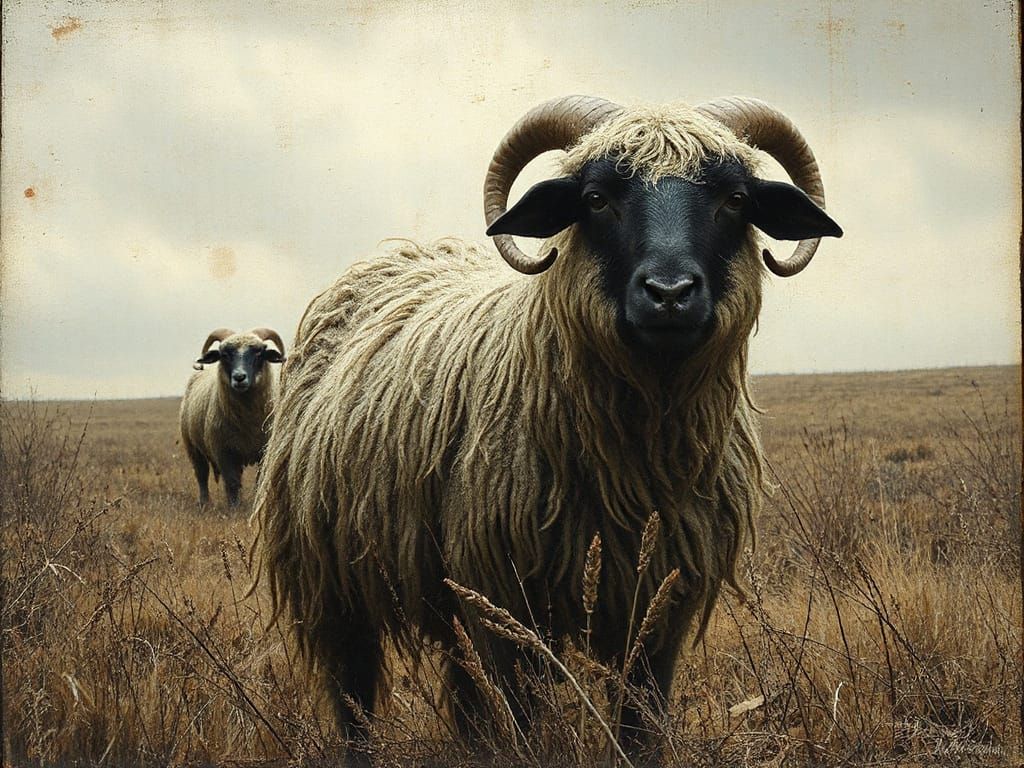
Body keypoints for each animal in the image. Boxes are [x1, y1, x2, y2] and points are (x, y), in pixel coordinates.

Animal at [179, 327, 285, 507]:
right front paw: (234, 508)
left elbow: (259, 481)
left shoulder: (264, 452)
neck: (248, 422)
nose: (239, 377)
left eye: (259, 353)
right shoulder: (224, 452)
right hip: (193, 447)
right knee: (201, 474)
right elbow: (232, 481)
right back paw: (204, 502)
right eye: (224, 355)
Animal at [251, 95, 842, 759]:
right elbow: (522, 719)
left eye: (736, 198)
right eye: (596, 199)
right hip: (331, 587)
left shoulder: (659, 610)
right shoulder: (503, 603)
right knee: (354, 698)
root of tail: (398, 253)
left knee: (465, 696)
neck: (637, 459)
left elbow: (640, 725)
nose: (669, 293)